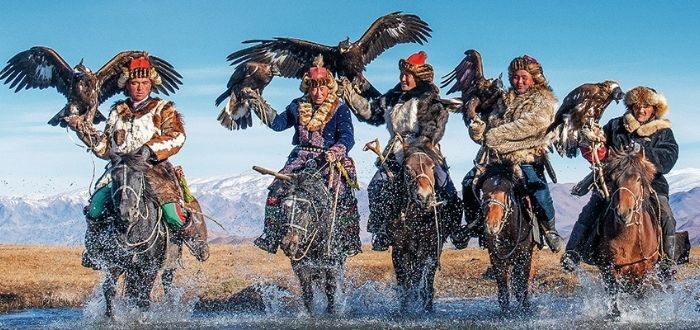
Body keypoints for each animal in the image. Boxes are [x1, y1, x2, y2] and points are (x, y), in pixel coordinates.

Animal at [95, 153, 183, 316]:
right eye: (114, 177)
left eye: (138, 177)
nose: (126, 213)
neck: (132, 231)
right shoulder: (116, 263)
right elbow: (109, 290)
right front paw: (110, 317)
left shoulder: (150, 267)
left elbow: (144, 298)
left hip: (170, 264)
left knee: (166, 286)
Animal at [256, 165, 346, 314]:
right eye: (282, 208)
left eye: (305, 208)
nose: (289, 243)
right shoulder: (300, 265)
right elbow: (307, 292)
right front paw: (311, 314)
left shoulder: (330, 262)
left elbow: (330, 288)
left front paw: (331, 311)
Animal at [388, 148, 448, 314]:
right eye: (407, 168)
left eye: (433, 167)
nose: (424, 197)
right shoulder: (398, 249)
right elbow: (403, 280)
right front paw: (404, 307)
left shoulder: (424, 248)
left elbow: (416, 277)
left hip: (434, 250)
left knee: (428, 279)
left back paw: (427, 305)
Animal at [482, 166, 536, 314]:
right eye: (484, 190)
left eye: (508, 191)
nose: (492, 226)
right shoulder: (495, 257)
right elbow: (503, 288)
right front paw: (505, 311)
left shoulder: (524, 256)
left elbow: (521, 284)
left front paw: (525, 307)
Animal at [592, 148, 660, 318]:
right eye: (613, 179)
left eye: (637, 179)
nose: (623, 213)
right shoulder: (609, 268)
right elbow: (614, 297)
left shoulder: (644, 270)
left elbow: (639, 295)